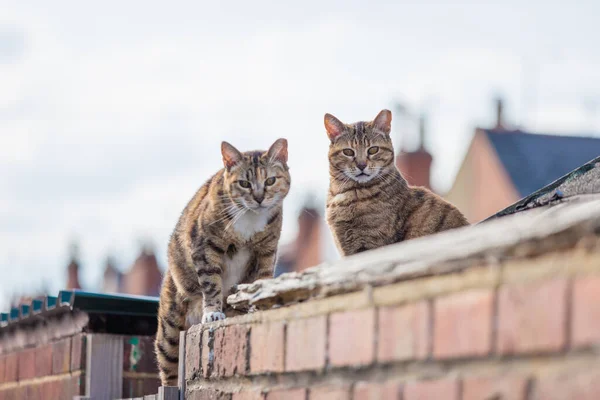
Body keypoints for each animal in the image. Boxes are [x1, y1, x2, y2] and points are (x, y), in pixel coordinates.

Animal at [155, 139, 290, 386]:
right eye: (244, 183)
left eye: (270, 180)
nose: (259, 197)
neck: (250, 219)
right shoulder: (205, 246)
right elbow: (211, 282)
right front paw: (213, 313)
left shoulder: (267, 249)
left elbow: (263, 277)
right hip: (170, 326)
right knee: (168, 368)